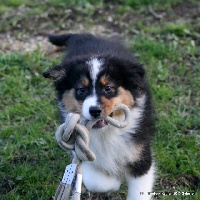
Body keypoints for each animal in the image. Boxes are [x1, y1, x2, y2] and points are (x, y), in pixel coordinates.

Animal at [43, 33, 155, 199]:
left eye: (108, 88)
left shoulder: (140, 157)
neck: (105, 132)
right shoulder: (82, 150)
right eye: (81, 90)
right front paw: (113, 181)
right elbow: (96, 181)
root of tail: (85, 35)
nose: (94, 110)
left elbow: (138, 192)